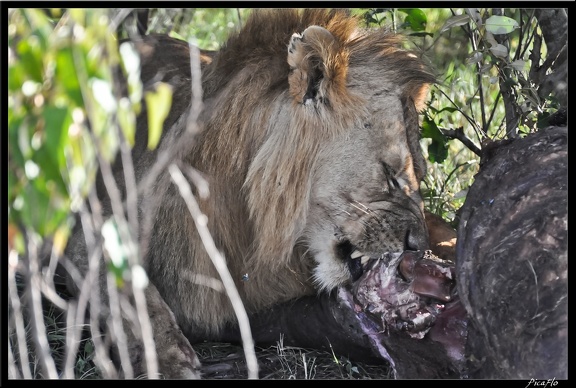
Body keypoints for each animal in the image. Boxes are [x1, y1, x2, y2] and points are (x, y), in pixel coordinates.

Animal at [64, 8, 446, 378]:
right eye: (391, 175)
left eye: (420, 177)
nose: (418, 246)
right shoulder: (86, 228)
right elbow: (130, 294)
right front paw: (170, 360)